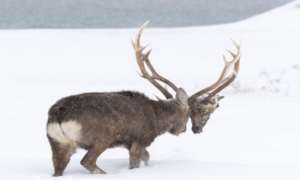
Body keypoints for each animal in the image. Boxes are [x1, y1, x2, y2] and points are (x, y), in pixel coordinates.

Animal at [45, 20, 241, 176]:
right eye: (191, 112)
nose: (188, 129)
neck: (157, 120)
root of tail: (59, 116)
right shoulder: (139, 140)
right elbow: (138, 161)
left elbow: (147, 157)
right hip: (102, 137)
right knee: (87, 161)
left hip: (57, 143)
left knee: (58, 168)